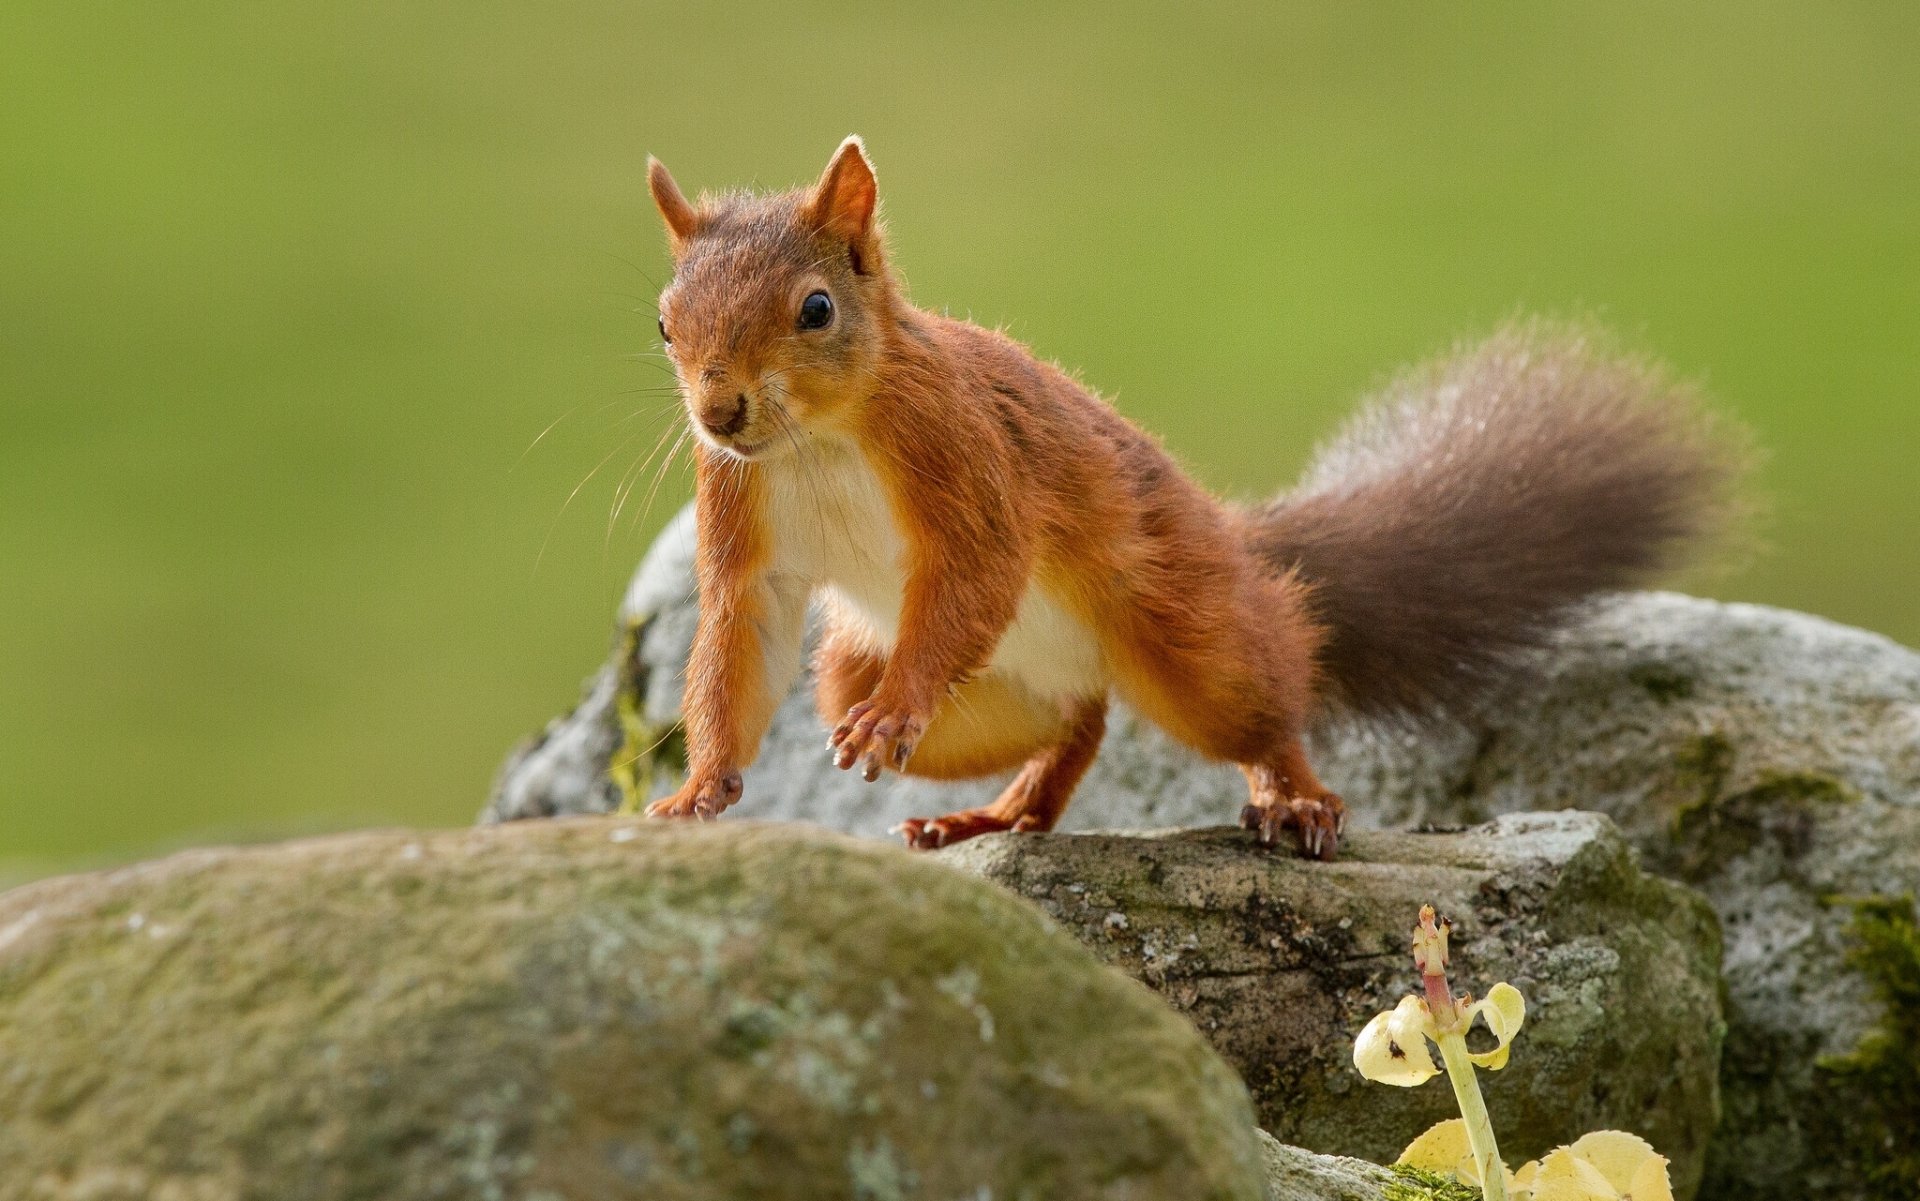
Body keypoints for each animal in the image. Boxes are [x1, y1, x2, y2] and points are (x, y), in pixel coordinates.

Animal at [633, 135, 1743, 855]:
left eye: (816, 309)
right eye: (664, 321)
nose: (719, 410)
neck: (819, 439)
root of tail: (1235, 540)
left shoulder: (963, 456)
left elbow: (979, 567)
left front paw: (890, 713)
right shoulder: (742, 516)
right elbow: (739, 637)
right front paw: (697, 790)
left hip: (1192, 637)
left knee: (1265, 699)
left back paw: (1295, 797)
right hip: (931, 681)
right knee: (1077, 722)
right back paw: (992, 813)